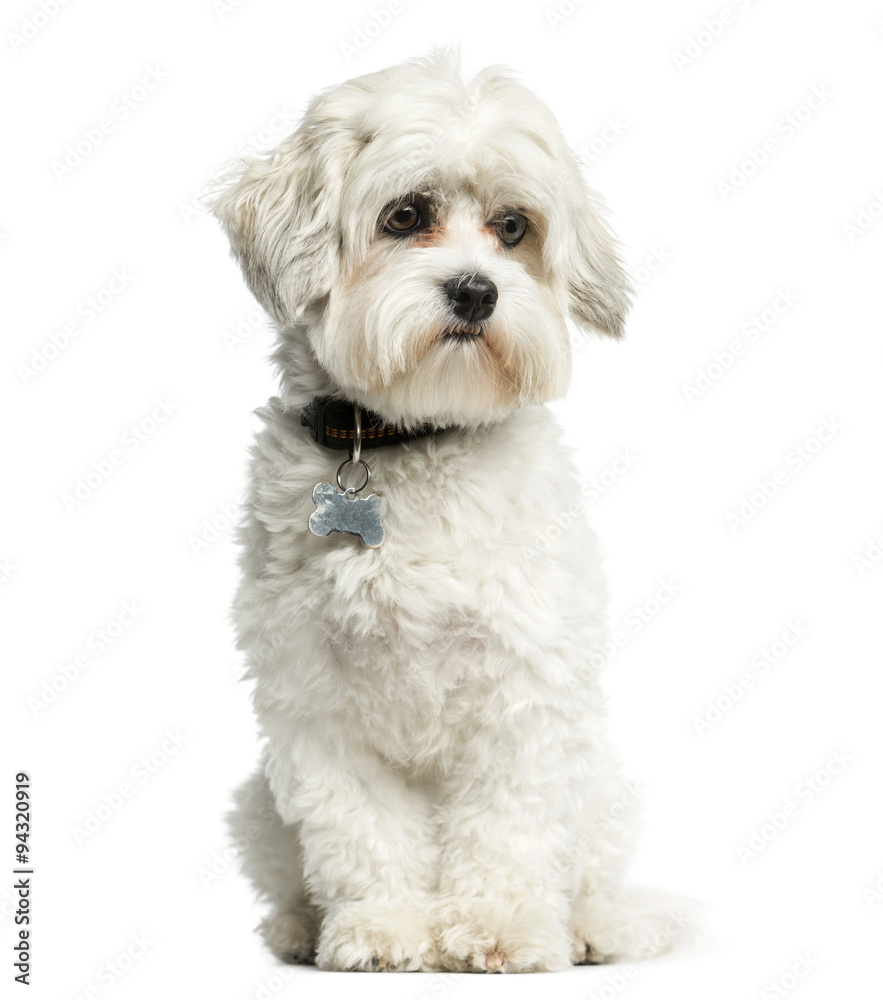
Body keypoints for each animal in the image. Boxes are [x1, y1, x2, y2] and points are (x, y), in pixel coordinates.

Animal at [211, 48, 688, 976]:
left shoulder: (524, 690)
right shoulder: (315, 704)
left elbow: (507, 828)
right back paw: (299, 927)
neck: (413, 438)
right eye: (405, 215)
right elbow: (359, 833)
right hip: (257, 801)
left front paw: (499, 930)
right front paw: (381, 929)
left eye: (512, 227)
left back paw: (591, 929)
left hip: (603, 785)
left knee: (591, 877)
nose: (475, 292)